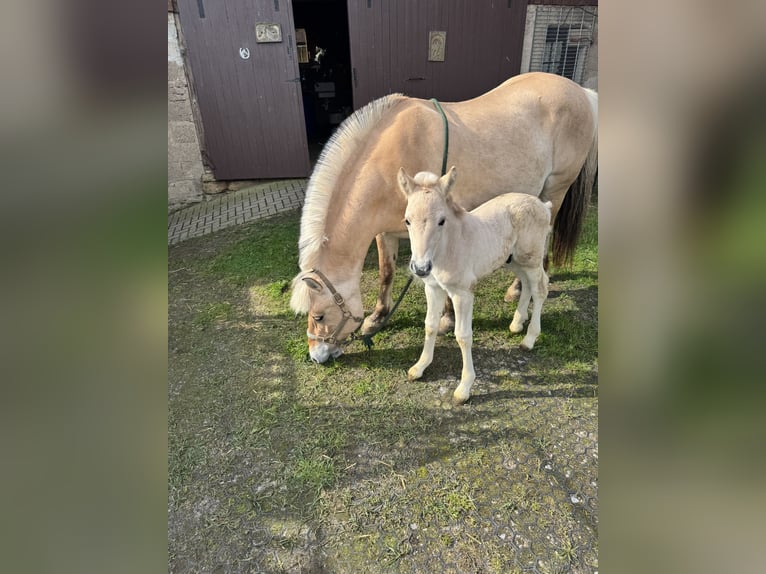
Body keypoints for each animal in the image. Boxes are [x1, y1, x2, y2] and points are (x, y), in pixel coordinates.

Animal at [289, 72, 597, 364]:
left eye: (318, 316)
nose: (316, 356)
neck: (394, 158)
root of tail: (583, 93)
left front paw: (447, 319)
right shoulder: (385, 232)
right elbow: (386, 272)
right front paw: (376, 318)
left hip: (555, 190)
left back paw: (519, 289)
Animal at [398, 167, 552, 405]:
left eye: (441, 221)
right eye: (407, 220)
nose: (421, 268)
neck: (447, 248)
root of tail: (543, 206)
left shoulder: (462, 293)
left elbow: (463, 336)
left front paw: (464, 388)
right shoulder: (433, 288)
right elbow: (430, 325)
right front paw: (419, 367)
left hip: (531, 258)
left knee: (540, 288)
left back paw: (529, 338)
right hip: (513, 260)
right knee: (526, 284)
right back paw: (516, 324)